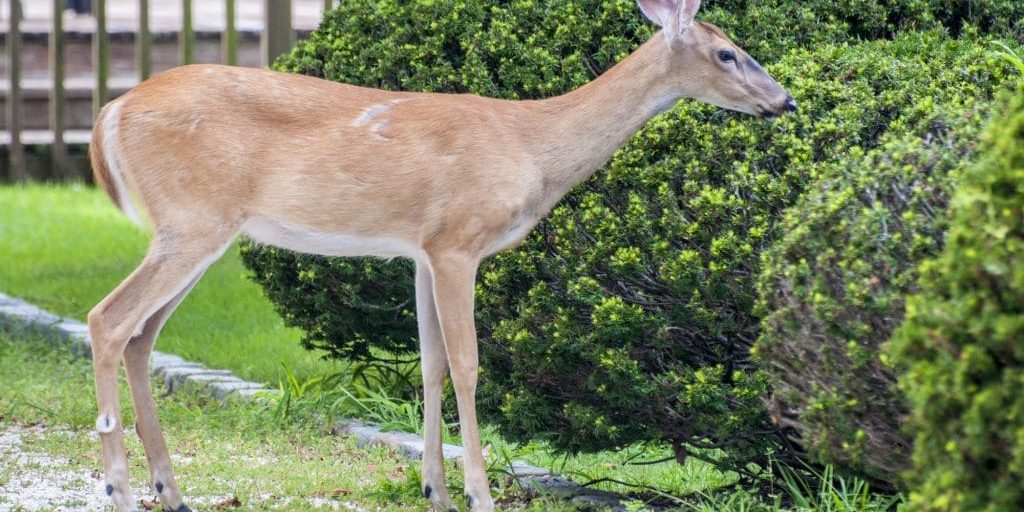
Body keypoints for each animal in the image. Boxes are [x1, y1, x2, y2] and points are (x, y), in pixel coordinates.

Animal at [86, 1, 790, 512]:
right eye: (728, 52)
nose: (783, 100)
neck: (532, 146)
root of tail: (110, 111)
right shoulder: (458, 241)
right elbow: (469, 366)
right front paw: (478, 493)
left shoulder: (420, 252)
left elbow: (430, 366)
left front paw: (435, 490)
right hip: (193, 220)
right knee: (107, 319)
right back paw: (120, 490)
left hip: (200, 230)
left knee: (141, 336)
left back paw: (171, 491)